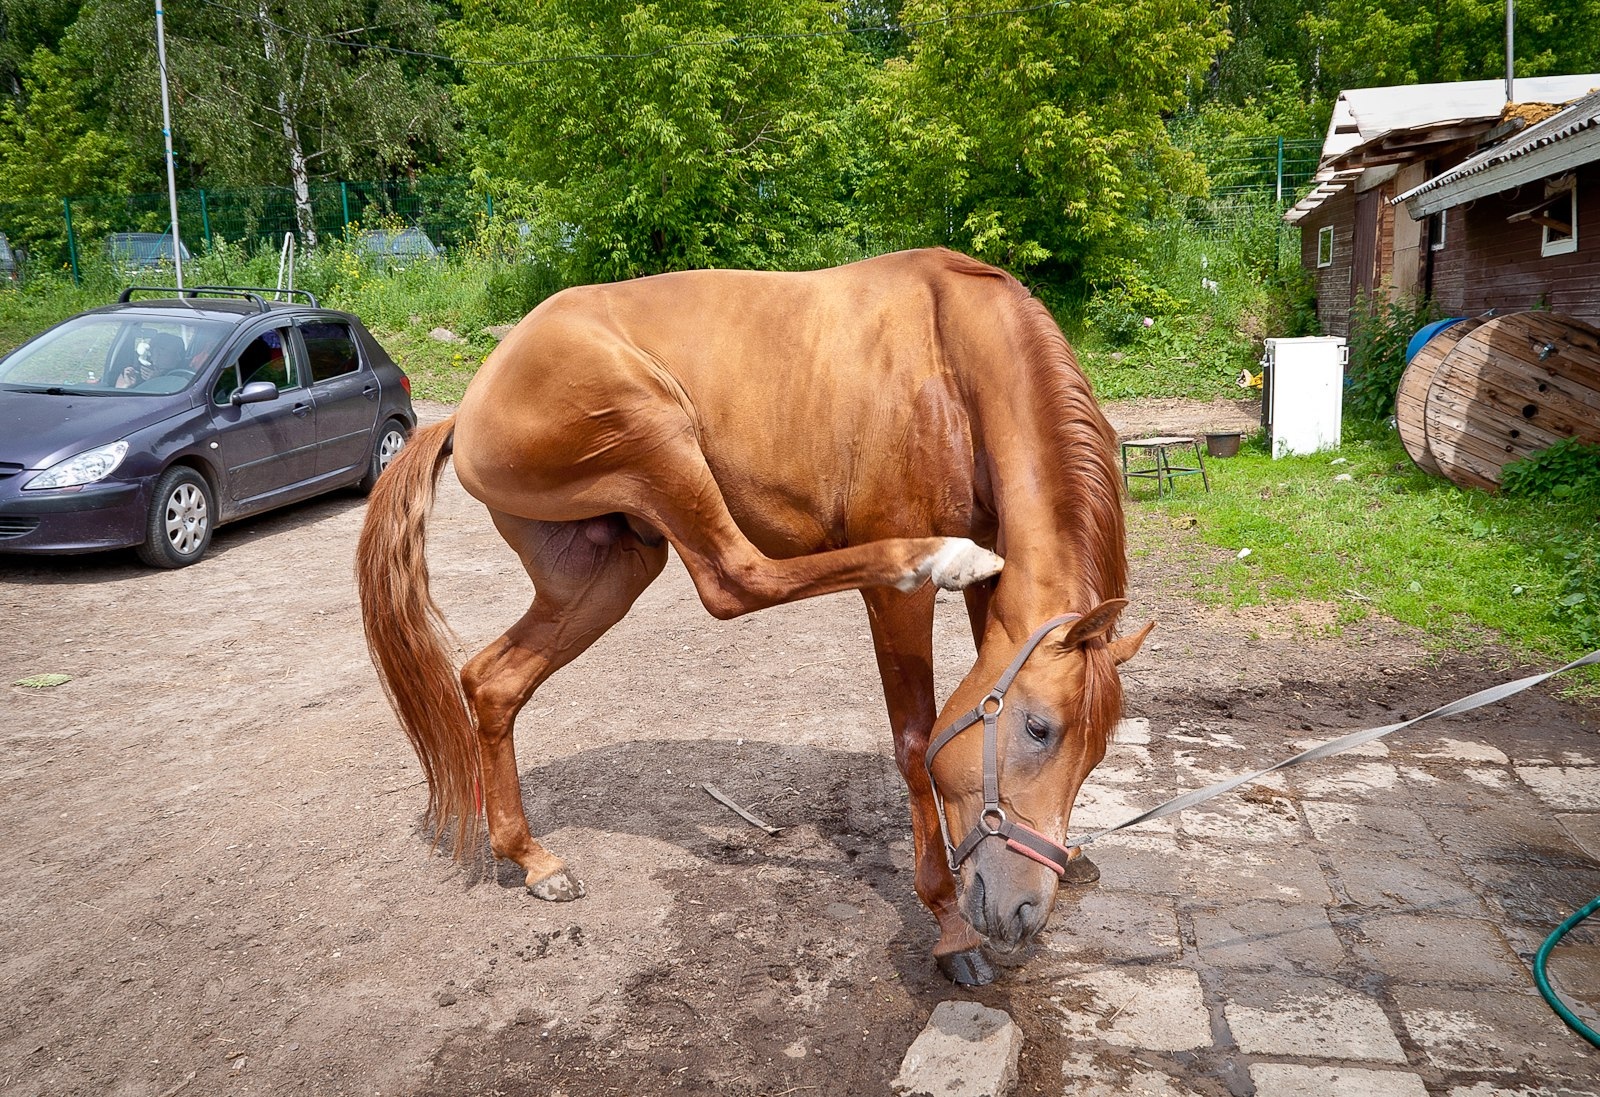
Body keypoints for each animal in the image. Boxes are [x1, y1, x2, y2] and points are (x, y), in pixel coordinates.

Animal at [356, 249, 1145, 991]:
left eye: (1096, 754)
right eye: (1038, 728)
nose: (1023, 913)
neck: (951, 357)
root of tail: (468, 405)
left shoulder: (999, 582)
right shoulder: (899, 600)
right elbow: (916, 740)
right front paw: (949, 928)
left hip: (606, 571)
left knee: (492, 681)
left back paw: (531, 859)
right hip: (656, 434)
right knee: (733, 578)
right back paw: (938, 557)